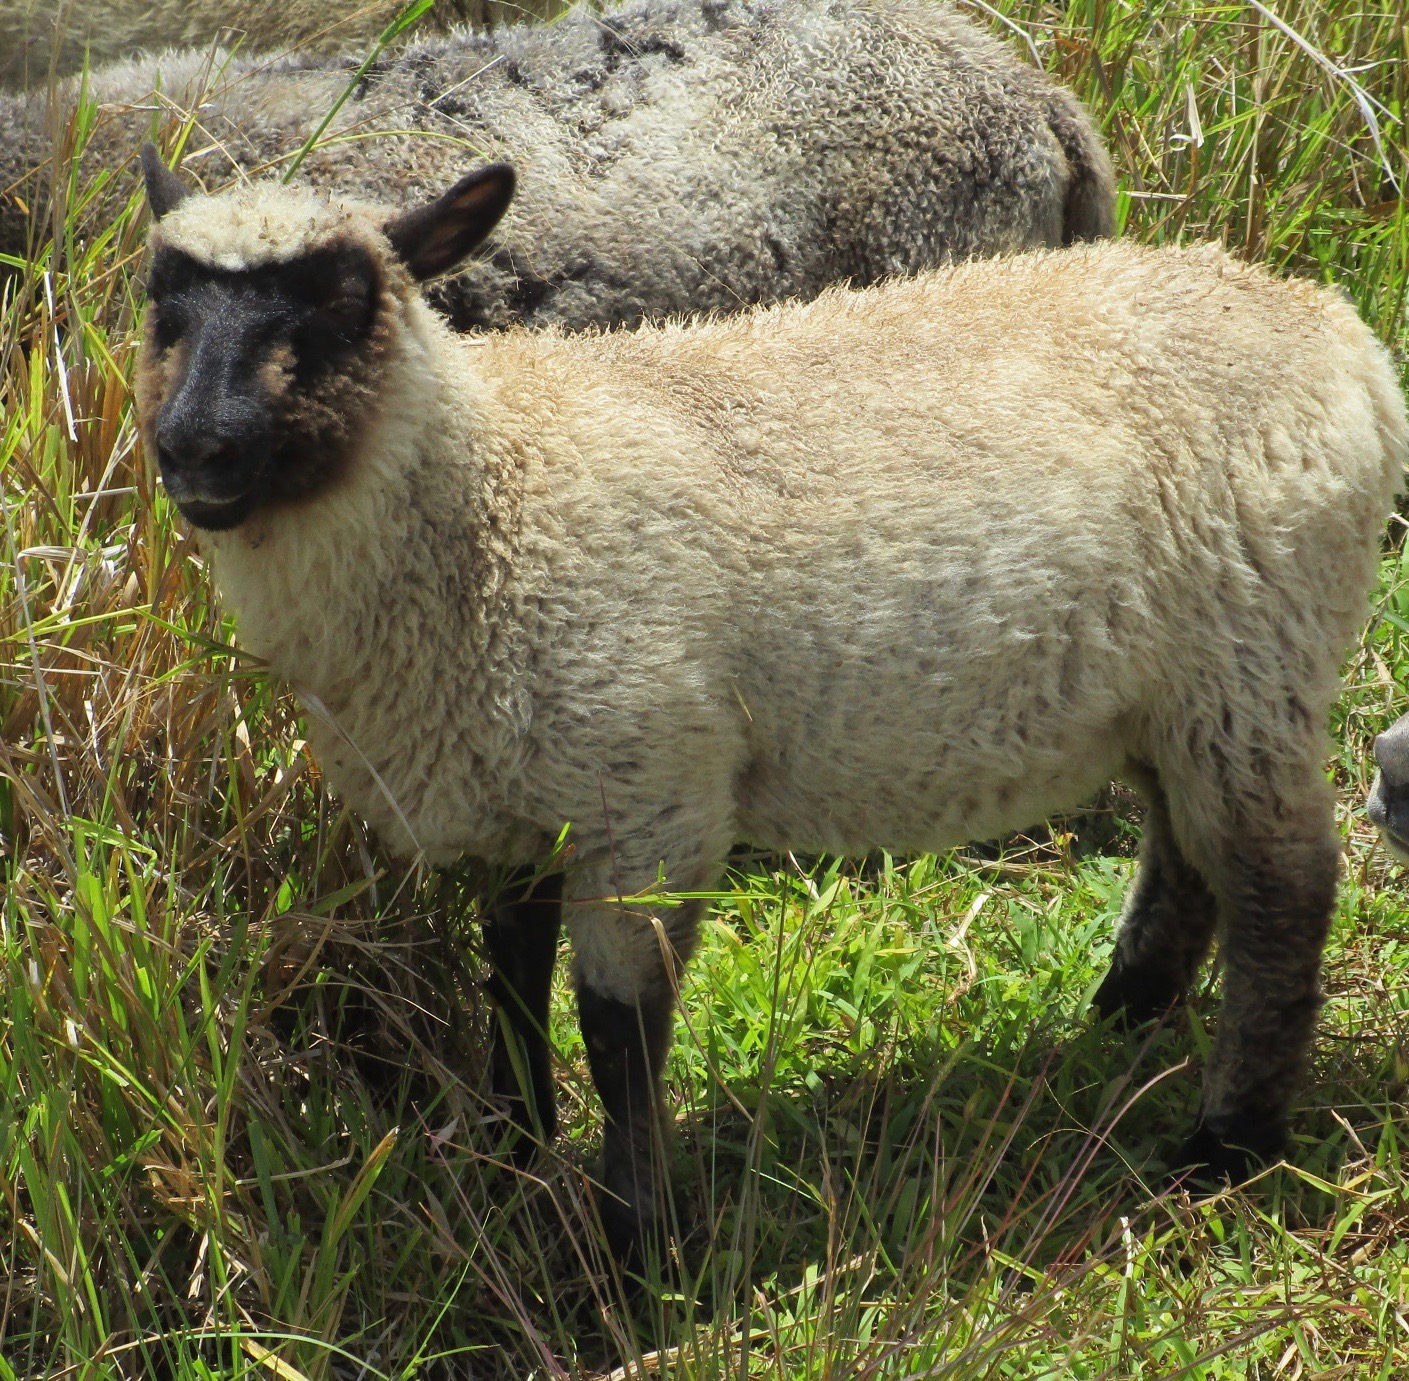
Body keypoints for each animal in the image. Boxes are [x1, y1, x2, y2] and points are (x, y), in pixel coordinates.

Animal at [133, 152, 1407, 1262]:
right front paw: (508, 1153)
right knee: (1185, 852)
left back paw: (1224, 1144)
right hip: (1166, 689)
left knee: (1281, 885)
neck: (493, 486)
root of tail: (1331, 328)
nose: (197, 449)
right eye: (162, 305)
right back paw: (1124, 1013)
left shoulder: (648, 793)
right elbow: (509, 983)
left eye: (344, 301)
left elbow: (620, 1031)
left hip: (1249, 657)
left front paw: (636, 1245)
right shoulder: (519, 796)